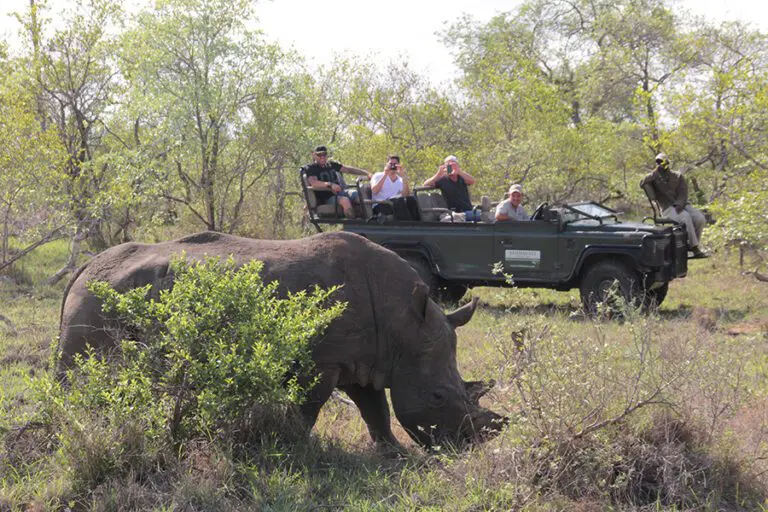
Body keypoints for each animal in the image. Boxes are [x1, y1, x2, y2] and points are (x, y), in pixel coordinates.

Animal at [58, 231, 506, 449]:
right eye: (438, 397)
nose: (468, 447)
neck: (402, 323)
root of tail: (83, 269)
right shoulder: (323, 360)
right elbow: (309, 407)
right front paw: (292, 447)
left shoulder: (368, 359)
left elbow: (374, 407)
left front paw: (391, 452)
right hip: (100, 297)